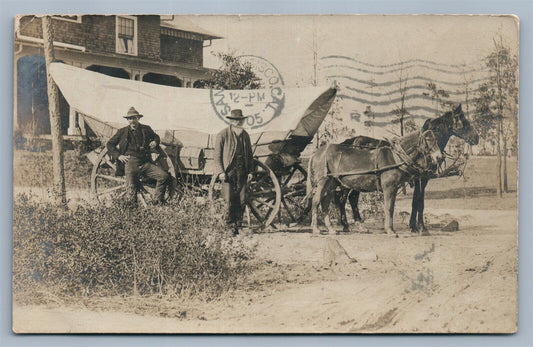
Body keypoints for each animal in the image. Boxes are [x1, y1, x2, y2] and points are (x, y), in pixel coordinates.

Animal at [308, 104, 478, 237]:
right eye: (464, 121)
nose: (476, 138)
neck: (399, 156)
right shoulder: (419, 179)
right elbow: (414, 202)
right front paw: (419, 228)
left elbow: (411, 202)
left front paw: (413, 227)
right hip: (331, 182)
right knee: (330, 200)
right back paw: (327, 228)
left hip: (337, 182)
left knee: (335, 200)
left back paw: (343, 227)